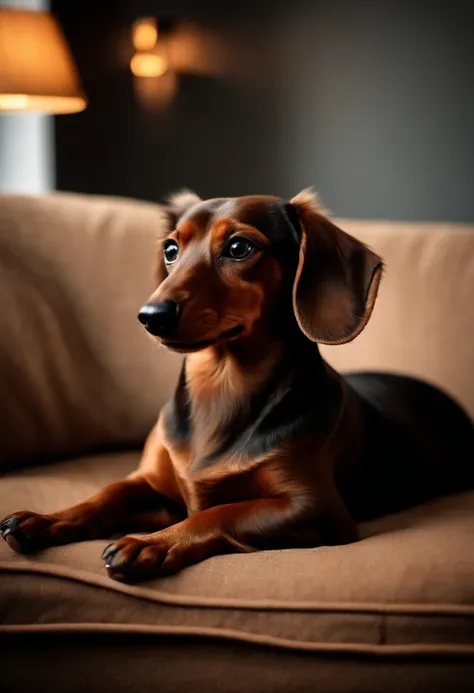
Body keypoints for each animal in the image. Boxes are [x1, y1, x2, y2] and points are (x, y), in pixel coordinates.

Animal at [2, 188, 474, 580]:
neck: (221, 385)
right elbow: (105, 495)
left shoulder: (315, 508)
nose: (150, 315)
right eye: (171, 249)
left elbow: (217, 513)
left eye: (239, 247)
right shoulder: (150, 482)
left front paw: (151, 544)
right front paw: (45, 520)